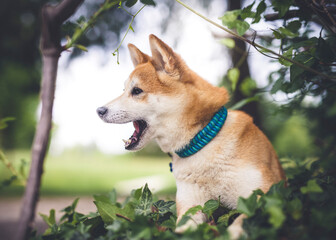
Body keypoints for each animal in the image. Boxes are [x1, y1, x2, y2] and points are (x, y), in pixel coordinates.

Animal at [97, 33, 286, 238]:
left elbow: (241, 221)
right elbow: (183, 227)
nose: (99, 110)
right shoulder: (190, 206)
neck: (203, 141)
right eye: (124, 91)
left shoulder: (263, 195)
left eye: (137, 91)